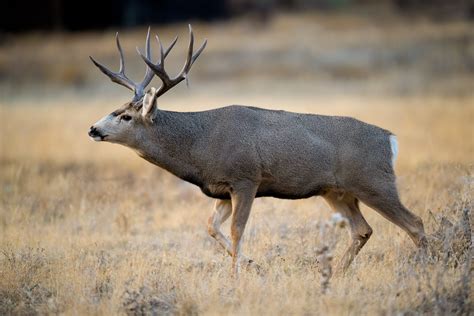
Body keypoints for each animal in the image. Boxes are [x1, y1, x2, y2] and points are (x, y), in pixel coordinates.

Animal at [88, 25, 426, 276]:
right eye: (115, 109)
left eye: (125, 116)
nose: (93, 129)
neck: (198, 145)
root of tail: (389, 139)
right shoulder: (222, 189)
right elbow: (211, 227)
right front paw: (252, 264)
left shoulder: (246, 178)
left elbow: (237, 229)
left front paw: (237, 274)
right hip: (337, 191)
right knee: (362, 230)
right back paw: (337, 273)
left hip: (373, 181)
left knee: (414, 223)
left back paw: (428, 264)